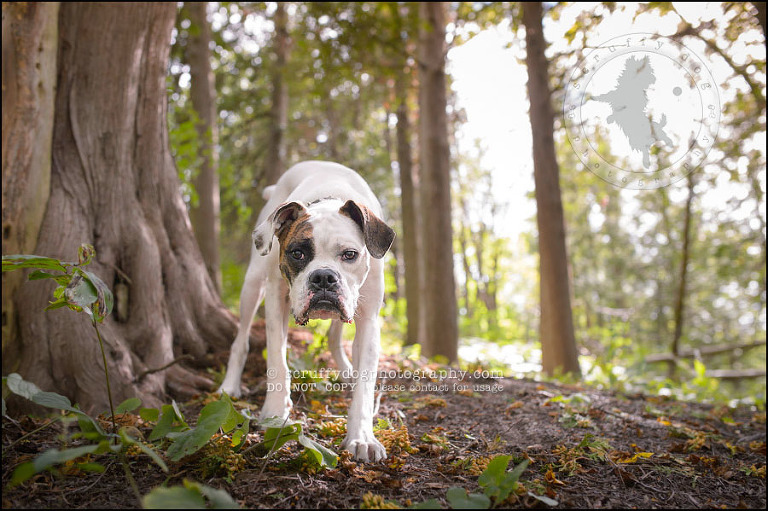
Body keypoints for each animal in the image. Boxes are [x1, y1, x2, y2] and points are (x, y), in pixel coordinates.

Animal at [219, 161, 392, 464]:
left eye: (350, 254)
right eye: (297, 253)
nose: (323, 277)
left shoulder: (369, 318)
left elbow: (366, 382)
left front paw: (362, 437)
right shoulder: (275, 299)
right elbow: (277, 360)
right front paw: (276, 412)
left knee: (336, 337)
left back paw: (347, 371)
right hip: (252, 284)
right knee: (240, 341)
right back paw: (229, 386)